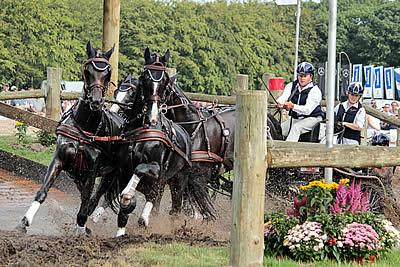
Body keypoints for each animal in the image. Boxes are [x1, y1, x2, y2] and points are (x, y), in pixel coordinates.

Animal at [15, 40, 122, 236]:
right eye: (87, 70)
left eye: (107, 72)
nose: (96, 101)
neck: (84, 128)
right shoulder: (59, 159)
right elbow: (43, 191)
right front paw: (25, 221)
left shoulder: (91, 170)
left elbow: (86, 201)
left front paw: (80, 228)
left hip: (113, 174)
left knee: (95, 198)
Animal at [100, 48, 212, 237]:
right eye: (145, 77)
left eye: (165, 81)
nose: (152, 115)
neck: (139, 130)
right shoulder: (122, 170)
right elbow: (124, 208)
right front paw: (120, 233)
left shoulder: (155, 168)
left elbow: (138, 171)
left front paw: (129, 195)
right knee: (155, 198)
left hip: (178, 180)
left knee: (174, 208)